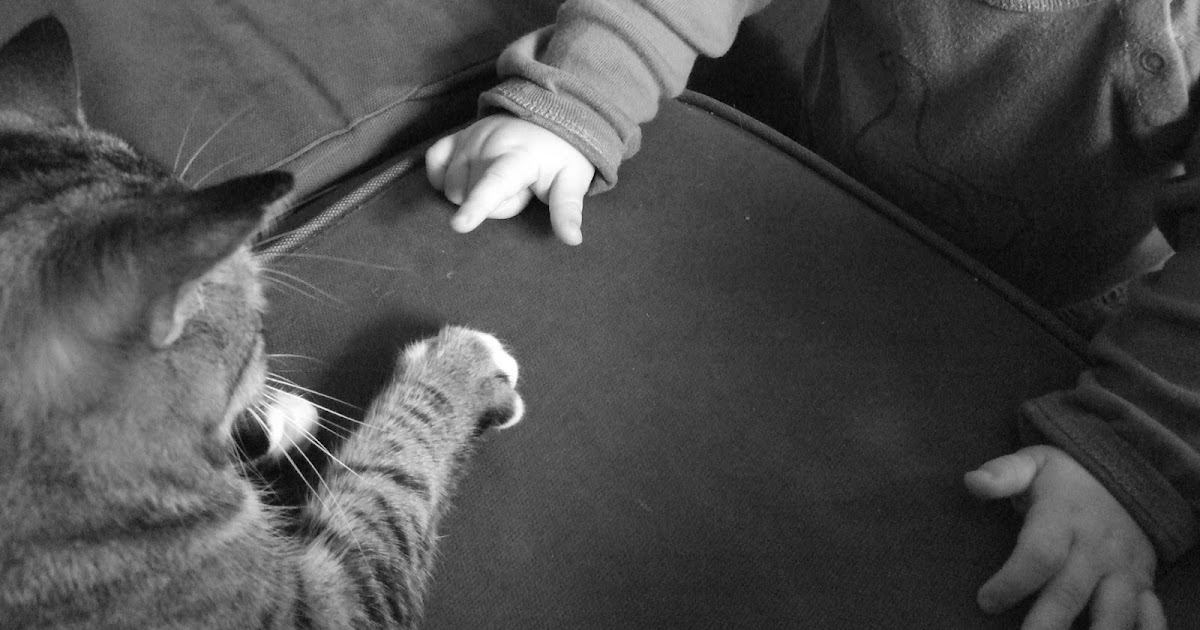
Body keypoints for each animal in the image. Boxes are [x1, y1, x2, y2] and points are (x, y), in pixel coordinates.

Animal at [0, 17, 524, 629]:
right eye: (257, 324)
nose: (270, 349)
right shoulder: (324, 606)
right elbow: (391, 481)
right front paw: (462, 368)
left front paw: (274, 419)